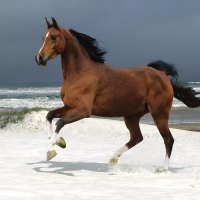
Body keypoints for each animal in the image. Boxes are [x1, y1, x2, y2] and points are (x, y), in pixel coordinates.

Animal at [35, 17, 200, 170]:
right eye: (43, 37)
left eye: (54, 37)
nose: (39, 58)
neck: (80, 73)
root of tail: (163, 75)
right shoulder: (69, 106)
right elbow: (50, 115)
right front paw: (57, 140)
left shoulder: (83, 110)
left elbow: (60, 122)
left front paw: (51, 150)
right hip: (132, 116)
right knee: (137, 138)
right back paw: (113, 159)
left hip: (159, 114)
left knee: (168, 139)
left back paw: (163, 168)